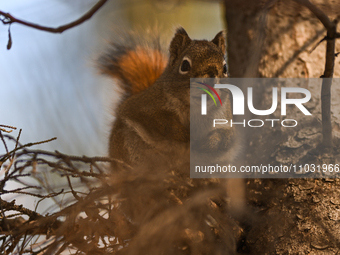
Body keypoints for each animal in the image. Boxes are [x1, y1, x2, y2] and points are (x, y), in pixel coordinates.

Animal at [98, 27, 236, 171]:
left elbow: (227, 137)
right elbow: (163, 123)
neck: (195, 108)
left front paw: (209, 142)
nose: (211, 79)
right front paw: (186, 136)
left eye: (225, 68)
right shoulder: (145, 107)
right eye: (184, 65)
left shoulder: (224, 118)